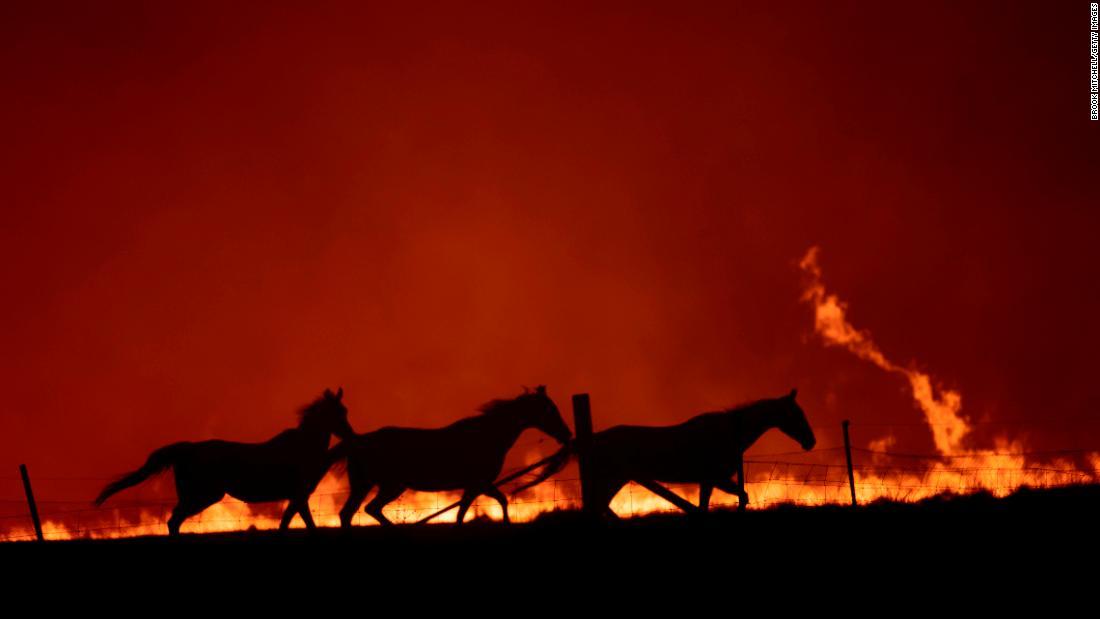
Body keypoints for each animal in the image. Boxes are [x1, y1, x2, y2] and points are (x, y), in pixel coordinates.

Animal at [95, 389, 354, 534]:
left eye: (345, 411)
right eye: (338, 413)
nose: (351, 434)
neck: (303, 446)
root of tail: (187, 449)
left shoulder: (297, 497)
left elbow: (289, 523)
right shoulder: (299, 496)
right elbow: (306, 524)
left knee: (174, 521)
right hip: (202, 495)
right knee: (173, 520)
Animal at [325, 387, 572, 527]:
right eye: (549, 410)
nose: (567, 434)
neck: (488, 434)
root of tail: (358, 441)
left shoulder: (480, 485)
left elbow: (491, 503)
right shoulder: (477, 484)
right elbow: (466, 512)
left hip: (367, 486)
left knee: (350, 513)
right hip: (388, 486)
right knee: (366, 510)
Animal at [589, 389, 814, 516]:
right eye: (795, 413)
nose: (811, 441)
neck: (731, 433)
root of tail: (595, 438)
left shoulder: (709, 481)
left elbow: (709, 505)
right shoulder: (715, 478)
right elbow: (741, 497)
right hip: (612, 479)